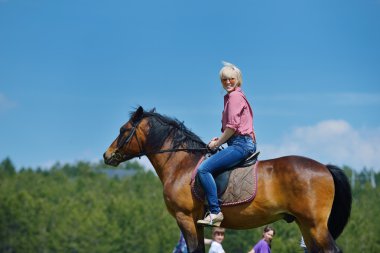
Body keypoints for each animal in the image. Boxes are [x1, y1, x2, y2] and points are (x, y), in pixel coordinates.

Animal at [102, 106, 352, 253]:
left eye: (123, 130)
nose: (107, 155)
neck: (181, 164)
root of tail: (324, 168)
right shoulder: (196, 223)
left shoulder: (185, 218)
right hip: (305, 225)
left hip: (315, 225)